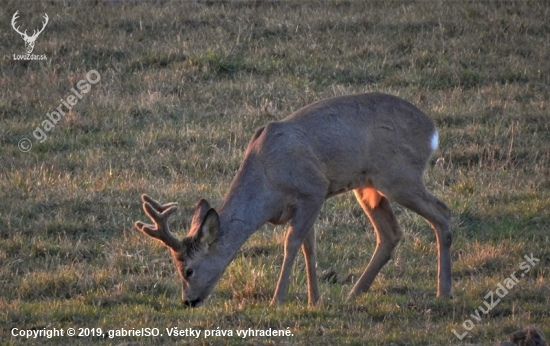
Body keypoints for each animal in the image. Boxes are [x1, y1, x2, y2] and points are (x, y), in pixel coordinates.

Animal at [135, 92, 452, 308]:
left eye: (188, 270)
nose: (188, 301)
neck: (267, 181)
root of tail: (432, 130)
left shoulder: (313, 188)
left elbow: (291, 243)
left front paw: (278, 299)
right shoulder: (303, 204)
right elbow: (309, 246)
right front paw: (315, 300)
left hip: (399, 175)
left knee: (442, 212)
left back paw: (443, 292)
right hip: (368, 186)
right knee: (390, 233)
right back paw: (354, 294)